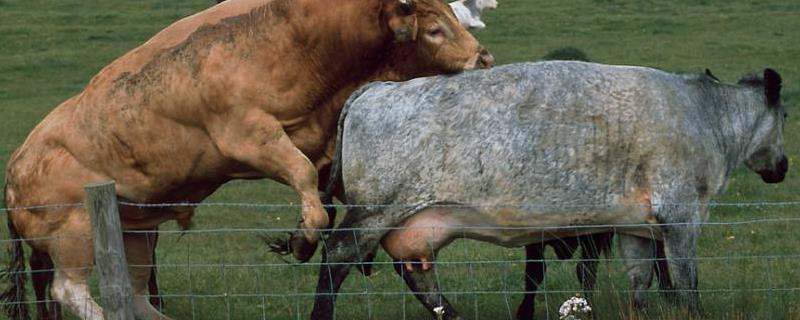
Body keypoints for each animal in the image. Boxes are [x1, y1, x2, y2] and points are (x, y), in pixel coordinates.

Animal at [1, 0, 494, 318]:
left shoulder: (318, 144)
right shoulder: (250, 136)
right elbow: (301, 177)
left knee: (136, 294)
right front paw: (302, 239)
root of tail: (15, 168)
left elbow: (327, 188)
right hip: (75, 235)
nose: (485, 60)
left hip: (136, 231)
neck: (290, 39)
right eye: (435, 29)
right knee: (69, 289)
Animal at [312, 61, 788, 318]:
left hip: (415, 226)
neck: (705, 116)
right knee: (336, 258)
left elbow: (640, 283)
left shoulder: (636, 226)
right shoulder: (681, 216)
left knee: (418, 273)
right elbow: (688, 285)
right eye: (786, 114)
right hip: (373, 212)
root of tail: (377, 89)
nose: (783, 166)